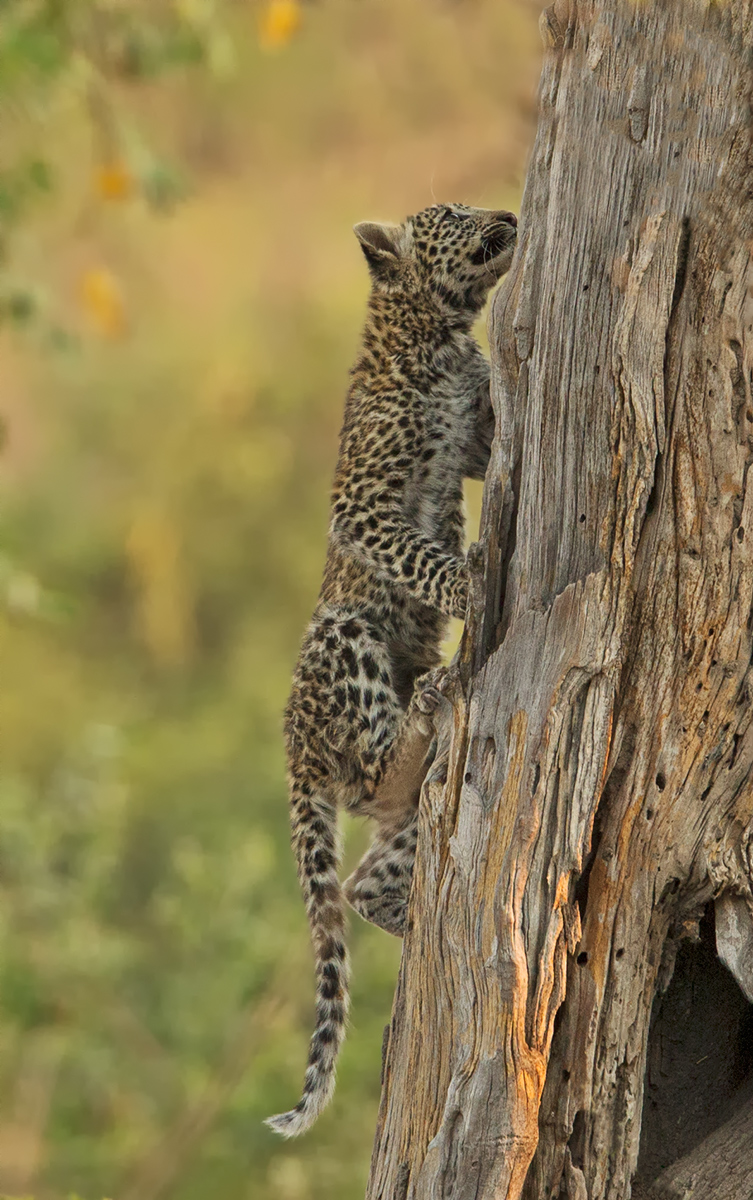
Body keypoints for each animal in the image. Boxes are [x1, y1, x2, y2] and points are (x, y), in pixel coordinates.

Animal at [266, 202, 517, 1138]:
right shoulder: (363, 508)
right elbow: (419, 554)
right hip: (342, 638)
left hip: (402, 824)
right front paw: (469, 576)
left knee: (365, 881)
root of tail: (294, 751)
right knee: (373, 773)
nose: (508, 212)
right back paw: (422, 708)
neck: (432, 334)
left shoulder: (474, 442)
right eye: (449, 217)